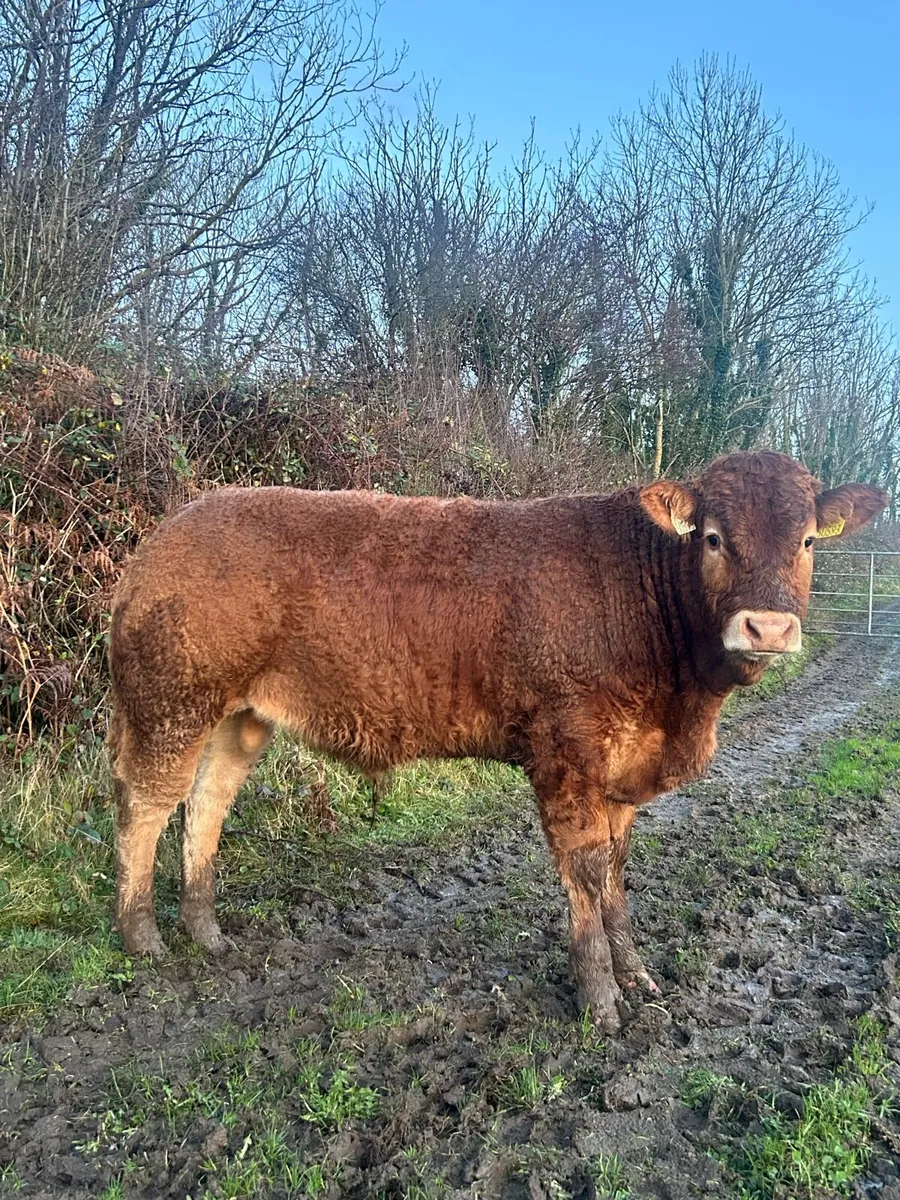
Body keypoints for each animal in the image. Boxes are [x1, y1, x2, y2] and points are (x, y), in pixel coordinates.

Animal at [107, 451, 888, 1032]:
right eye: (715, 537)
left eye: (807, 541)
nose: (767, 628)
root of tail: (172, 527)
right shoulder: (566, 753)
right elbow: (585, 871)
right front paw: (600, 1001)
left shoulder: (622, 770)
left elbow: (616, 871)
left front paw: (636, 975)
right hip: (170, 702)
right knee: (146, 805)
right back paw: (142, 937)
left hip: (240, 715)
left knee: (207, 803)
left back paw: (207, 932)